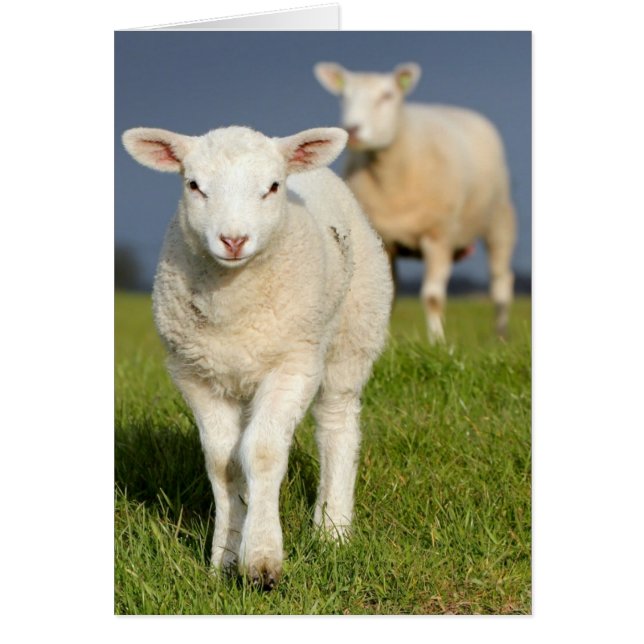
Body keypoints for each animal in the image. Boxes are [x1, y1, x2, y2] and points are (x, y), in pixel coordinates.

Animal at [121, 124, 393, 589]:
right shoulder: (195, 374)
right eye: (193, 185)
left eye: (272, 187)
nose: (233, 240)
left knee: (337, 425)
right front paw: (224, 557)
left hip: (354, 332)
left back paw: (333, 529)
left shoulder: (293, 365)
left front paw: (262, 561)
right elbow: (223, 463)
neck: (234, 303)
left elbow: (263, 452)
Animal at [314, 62, 517, 343]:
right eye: (344, 96)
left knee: (500, 282)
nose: (353, 130)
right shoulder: (384, 242)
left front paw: (437, 342)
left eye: (387, 95)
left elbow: (432, 298)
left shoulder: (438, 236)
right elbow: (388, 294)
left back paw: (500, 335)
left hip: (499, 221)